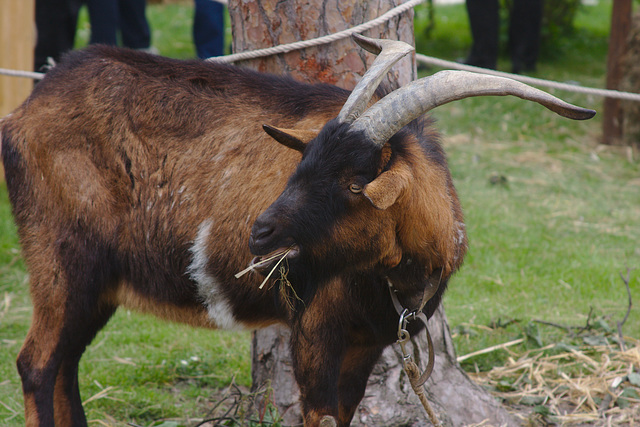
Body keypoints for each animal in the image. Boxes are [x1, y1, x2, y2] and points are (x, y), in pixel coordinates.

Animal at [0, 34, 596, 427]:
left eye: (355, 181)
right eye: (302, 161)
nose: (260, 233)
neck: (391, 283)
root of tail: (26, 110)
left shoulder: (367, 345)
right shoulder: (314, 332)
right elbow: (320, 416)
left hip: (98, 285)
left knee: (64, 366)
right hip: (63, 260)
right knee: (37, 364)